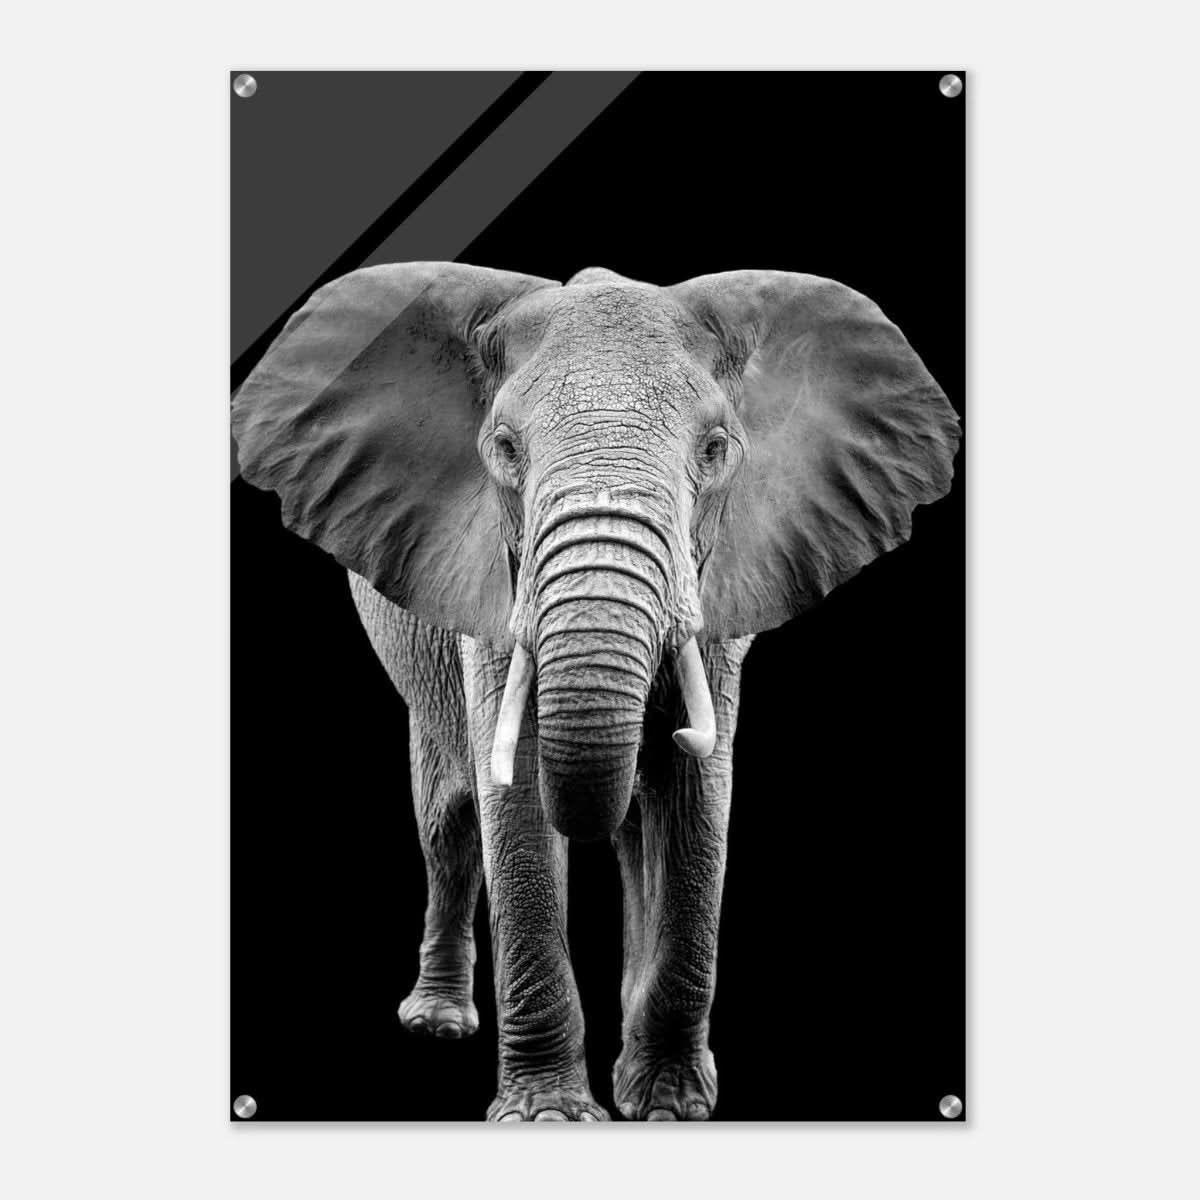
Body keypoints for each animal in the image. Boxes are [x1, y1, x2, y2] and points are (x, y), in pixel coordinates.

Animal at [231, 262, 960, 1122]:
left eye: (715, 449)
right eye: (505, 448)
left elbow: (696, 797)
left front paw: (670, 1107)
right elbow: (512, 796)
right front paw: (548, 1115)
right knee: (447, 821)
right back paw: (438, 1024)